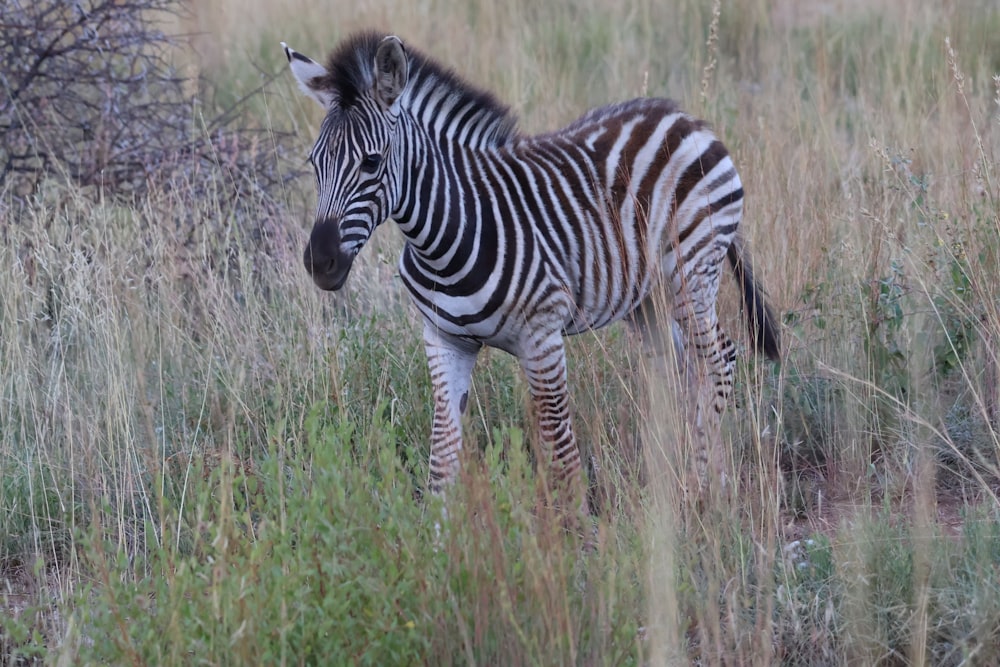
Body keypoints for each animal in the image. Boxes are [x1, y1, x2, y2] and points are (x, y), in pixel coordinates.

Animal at [282, 30, 780, 520]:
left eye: (370, 162)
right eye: (313, 162)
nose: (320, 263)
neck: (443, 239)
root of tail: (685, 118)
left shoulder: (542, 337)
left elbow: (560, 450)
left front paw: (578, 534)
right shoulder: (444, 340)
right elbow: (443, 453)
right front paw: (439, 537)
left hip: (692, 269)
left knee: (718, 359)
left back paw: (702, 489)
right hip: (644, 296)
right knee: (678, 370)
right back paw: (673, 481)